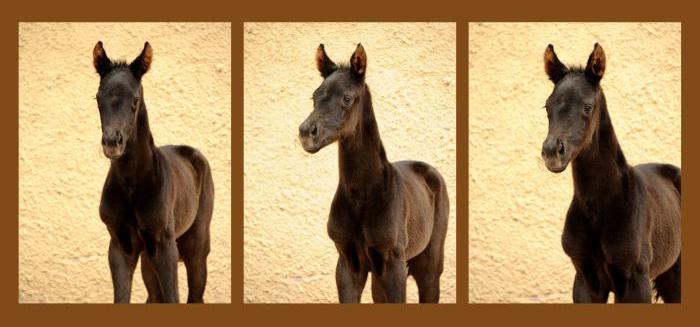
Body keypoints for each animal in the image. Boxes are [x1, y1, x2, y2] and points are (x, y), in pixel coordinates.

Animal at [93, 41, 215, 304]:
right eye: (98, 98)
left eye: (135, 98)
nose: (112, 143)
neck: (133, 184)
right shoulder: (120, 245)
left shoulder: (165, 245)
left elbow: (173, 297)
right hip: (147, 256)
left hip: (196, 247)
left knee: (195, 295)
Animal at [298, 44, 452, 304]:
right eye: (315, 96)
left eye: (347, 98)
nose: (306, 133)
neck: (363, 196)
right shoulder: (348, 264)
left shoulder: (393, 264)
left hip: (429, 265)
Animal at [540, 43, 680, 304]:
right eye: (547, 105)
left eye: (588, 106)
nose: (552, 152)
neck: (603, 206)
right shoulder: (585, 281)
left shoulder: (635, 284)